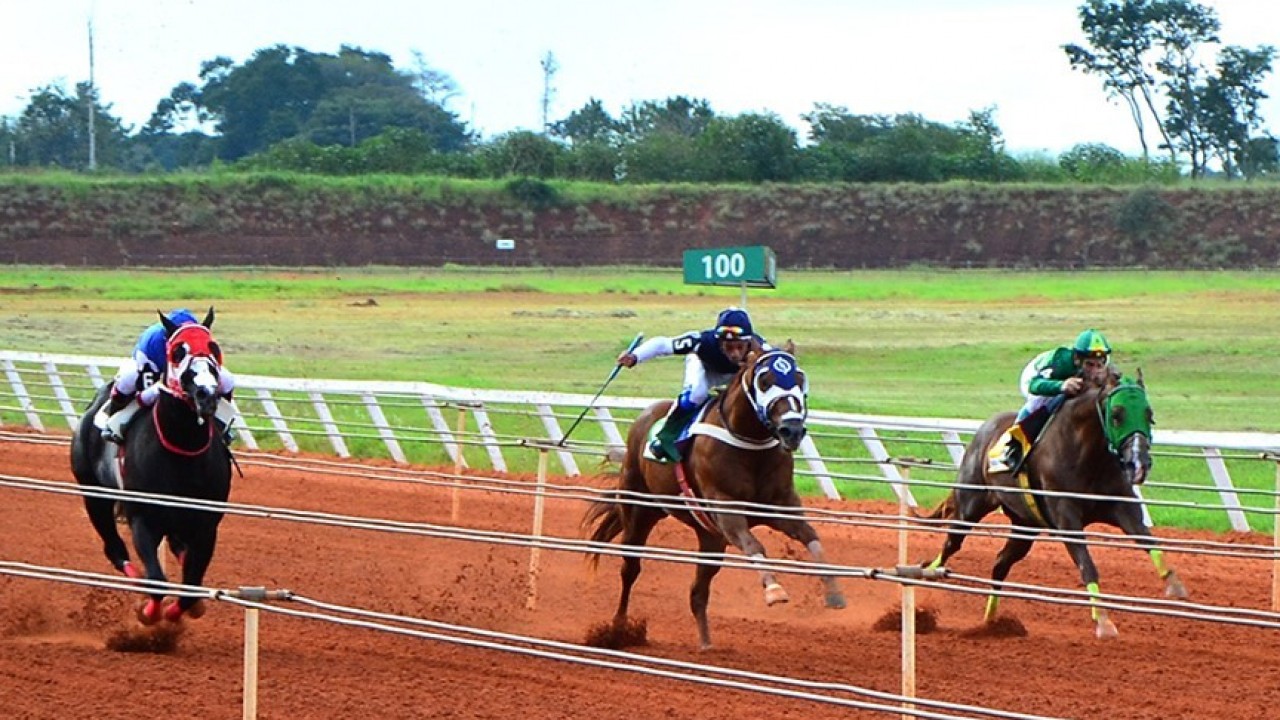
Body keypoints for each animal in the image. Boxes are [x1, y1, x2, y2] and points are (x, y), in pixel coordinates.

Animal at [69, 308, 232, 622]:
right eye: (178, 351)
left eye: (213, 348)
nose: (206, 394)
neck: (183, 452)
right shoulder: (143, 520)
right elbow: (157, 581)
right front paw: (149, 613)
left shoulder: (206, 526)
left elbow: (191, 585)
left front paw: (182, 610)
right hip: (93, 494)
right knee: (114, 548)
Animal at [583, 340, 844, 645]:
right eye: (765, 380)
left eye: (800, 378)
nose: (792, 430)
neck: (750, 445)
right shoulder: (726, 509)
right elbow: (755, 545)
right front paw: (774, 589)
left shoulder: (782, 507)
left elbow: (812, 537)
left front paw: (834, 591)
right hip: (639, 510)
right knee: (630, 568)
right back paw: (619, 629)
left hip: (710, 537)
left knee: (698, 592)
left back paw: (706, 643)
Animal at [921, 366, 1187, 635]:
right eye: (1116, 415)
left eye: (1149, 414)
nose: (1139, 464)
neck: (1088, 456)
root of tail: (983, 430)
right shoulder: (1066, 518)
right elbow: (1087, 565)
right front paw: (1103, 621)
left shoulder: (1122, 506)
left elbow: (1148, 540)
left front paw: (1174, 585)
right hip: (971, 505)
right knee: (951, 544)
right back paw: (927, 575)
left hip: (1025, 525)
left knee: (1000, 563)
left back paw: (991, 623)